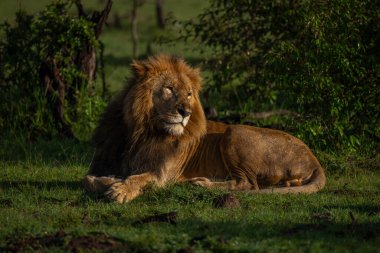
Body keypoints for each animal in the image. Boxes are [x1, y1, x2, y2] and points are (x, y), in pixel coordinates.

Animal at [84, 54, 326, 203]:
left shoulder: (164, 175)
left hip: (234, 132)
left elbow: (139, 178)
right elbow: (88, 179)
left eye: (189, 94)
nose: (186, 112)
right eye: (169, 89)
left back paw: (201, 184)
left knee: (248, 184)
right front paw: (110, 180)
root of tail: (314, 159)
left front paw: (120, 189)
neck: (142, 132)